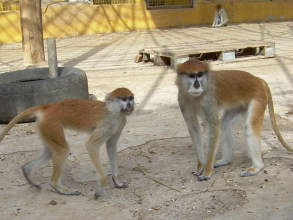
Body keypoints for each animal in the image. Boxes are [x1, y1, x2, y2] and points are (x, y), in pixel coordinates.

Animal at [0, 87, 135, 198]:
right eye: (124, 99)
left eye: (130, 98)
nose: (129, 105)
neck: (113, 110)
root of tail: (49, 106)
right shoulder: (108, 123)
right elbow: (91, 145)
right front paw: (101, 187)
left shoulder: (120, 121)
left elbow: (111, 145)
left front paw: (117, 181)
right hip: (51, 123)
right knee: (63, 149)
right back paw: (58, 187)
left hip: (44, 125)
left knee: (51, 151)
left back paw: (27, 170)